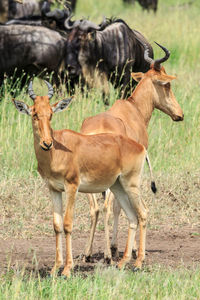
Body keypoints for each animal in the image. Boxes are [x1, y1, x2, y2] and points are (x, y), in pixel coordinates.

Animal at [12, 79, 147, 276]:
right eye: (35, 113)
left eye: (51, 113)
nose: (47, 143)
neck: (58, 150)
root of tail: (140, 147)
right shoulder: (53, 189)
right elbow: (57, 225)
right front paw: (55, 268)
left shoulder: (72, 186)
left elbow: (68, 223)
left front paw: (67, 269)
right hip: (118, 186)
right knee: (132, 217)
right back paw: (122, 263)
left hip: (131, 184)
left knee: (143, 213)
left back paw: (138, 263)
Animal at [80, 42, 184, 262]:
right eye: (167, 85)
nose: (179, 115)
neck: (132, 109)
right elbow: (121, 207)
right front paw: (125, 248)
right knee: (107, 207)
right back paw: (107, 255)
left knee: (95, 208)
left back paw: (87, 253)